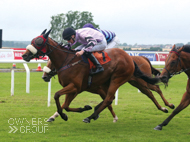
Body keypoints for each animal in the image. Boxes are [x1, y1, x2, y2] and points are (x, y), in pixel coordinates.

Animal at [21, 29, 160, 123]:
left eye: (38, 42)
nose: (24, 55)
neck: (68, 61)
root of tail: (130, 57)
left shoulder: (75, 86)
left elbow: (57, 96)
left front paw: (64, 115)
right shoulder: (75, 88)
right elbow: (66, 105)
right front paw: (82, 108)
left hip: (119, 78)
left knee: (111, 98)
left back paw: (90, 117)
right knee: (112, 98)